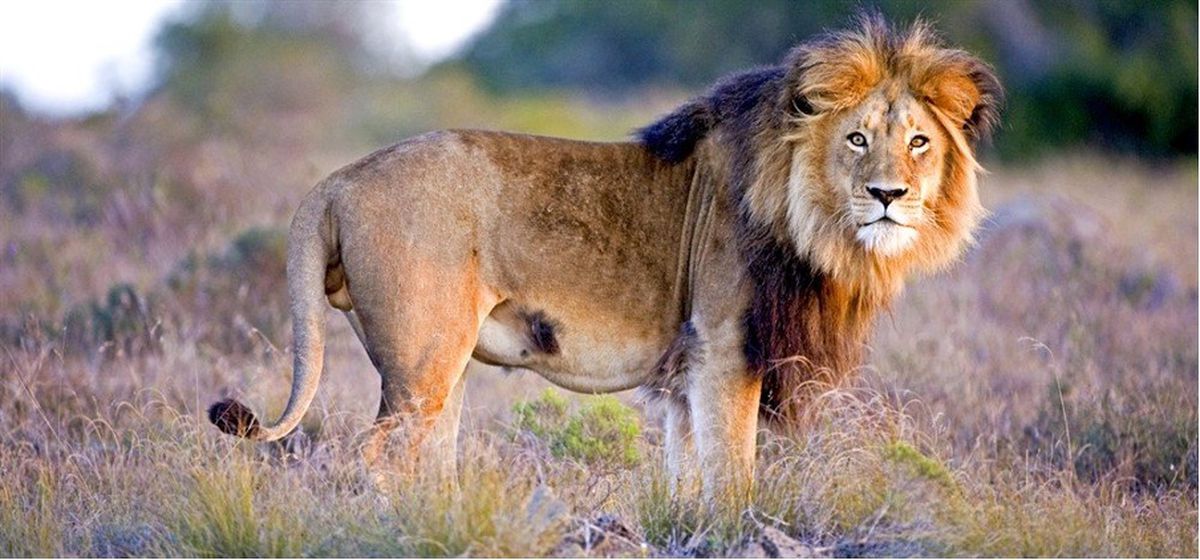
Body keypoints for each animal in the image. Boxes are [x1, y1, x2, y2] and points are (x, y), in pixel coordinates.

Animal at [208, 16, 1001, 501]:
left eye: (919, 142)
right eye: (858, 139)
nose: (889, 195)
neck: (816, 225)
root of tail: (339, 178)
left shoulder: (687, 369)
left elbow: (688, 475)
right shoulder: (724, 350)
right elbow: (733, 477)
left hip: (440, 366)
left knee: (430, 463)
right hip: (424, 355)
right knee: (376, 456)